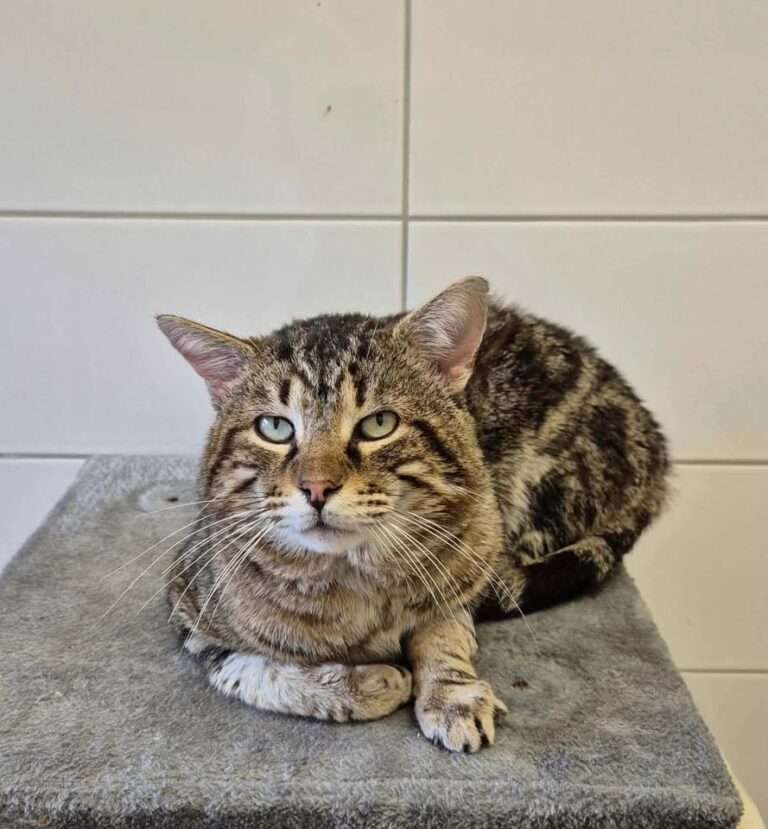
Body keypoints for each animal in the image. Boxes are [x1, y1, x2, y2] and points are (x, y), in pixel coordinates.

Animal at [157, 276, 668, 753]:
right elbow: (257, 672)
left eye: (379, 424)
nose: (317, 487)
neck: (355, 582)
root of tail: (656, 448)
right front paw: (370, 683)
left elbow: (443, 631)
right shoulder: (191, 613)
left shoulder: (470, 558)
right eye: (275, 427)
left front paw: (451, 694)